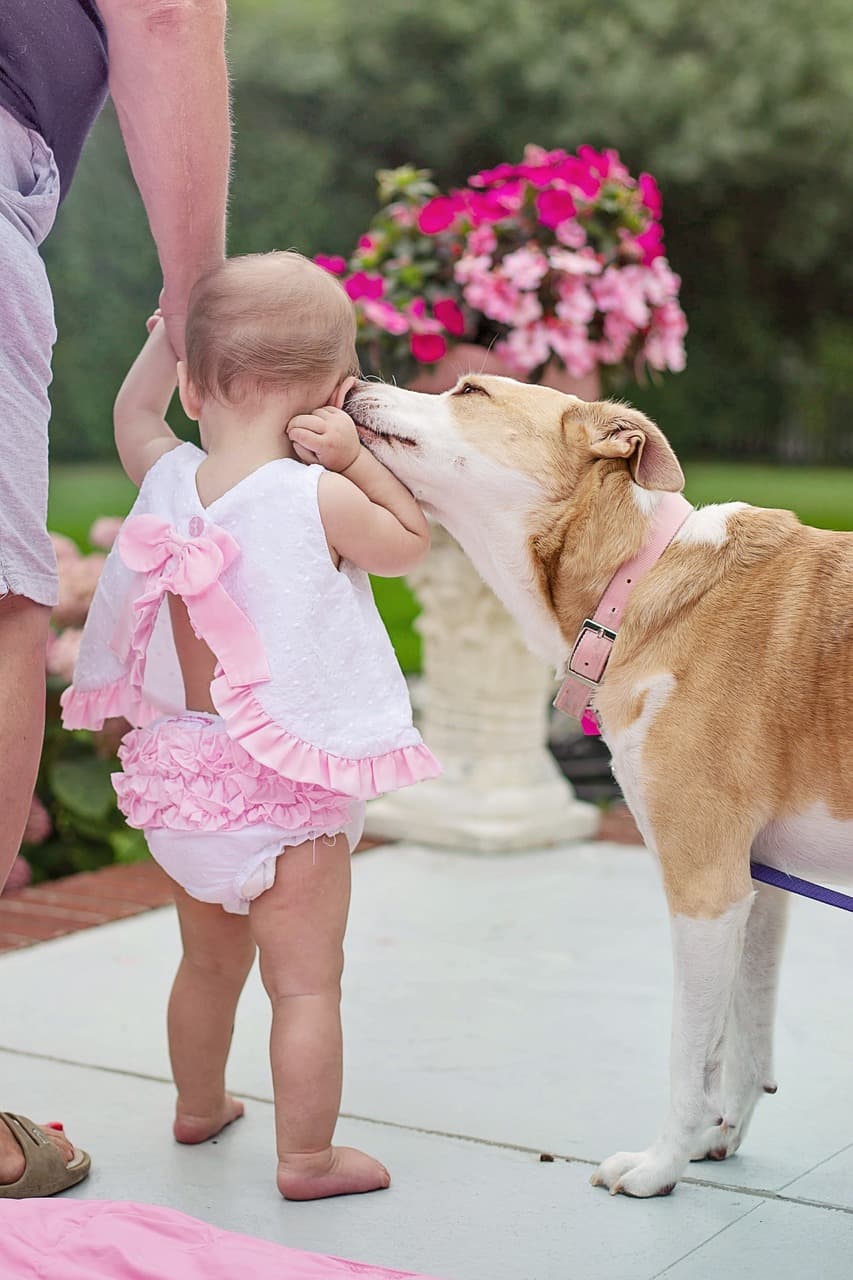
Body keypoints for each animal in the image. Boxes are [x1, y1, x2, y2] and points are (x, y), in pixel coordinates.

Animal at [345, 373, 850, 1198]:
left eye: (469, 388)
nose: (355, 380)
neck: (636, 578)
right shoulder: (757, 885)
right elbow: (739, 1039)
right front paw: (715, 1136)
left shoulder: (704, 888)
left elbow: (686, 1051)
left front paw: (658, 1167)